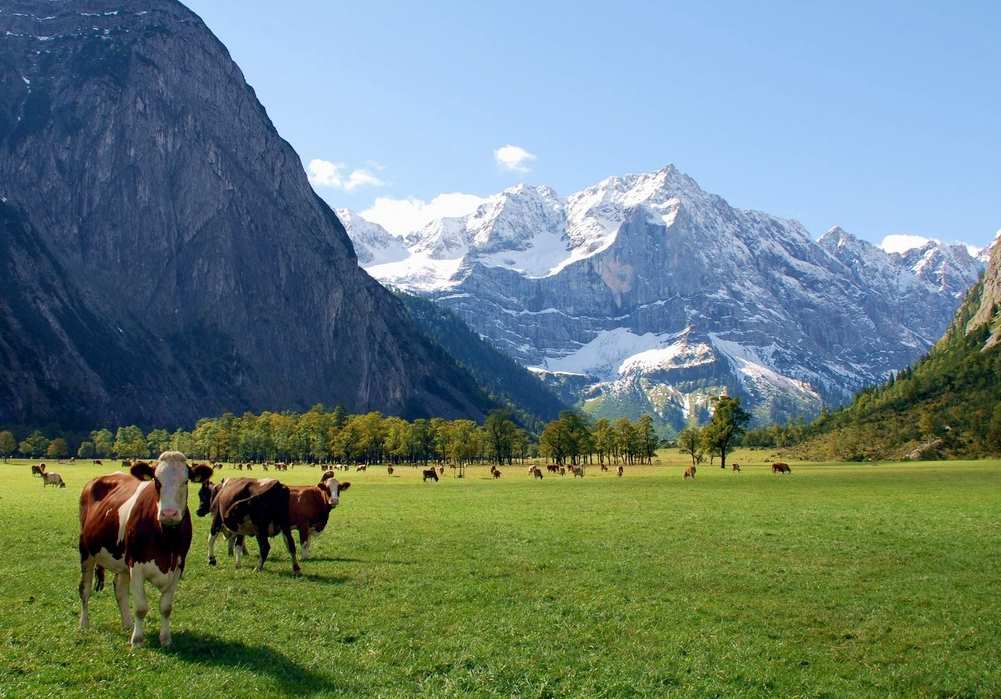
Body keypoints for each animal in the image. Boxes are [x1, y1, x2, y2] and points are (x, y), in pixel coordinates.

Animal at [78, 448, 213, 644]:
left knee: (119, 590)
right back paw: (84, 624)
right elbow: (141, 607)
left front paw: (165, 639)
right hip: (86, 551)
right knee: (84, 589)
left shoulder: (178, 567)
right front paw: (137, 640)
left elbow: (166, 607)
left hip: (123, 562)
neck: (166, 540)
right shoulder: (136, 565)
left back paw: (127, 624)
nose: (169, 513)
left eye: (185, 481)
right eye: (157, 481)